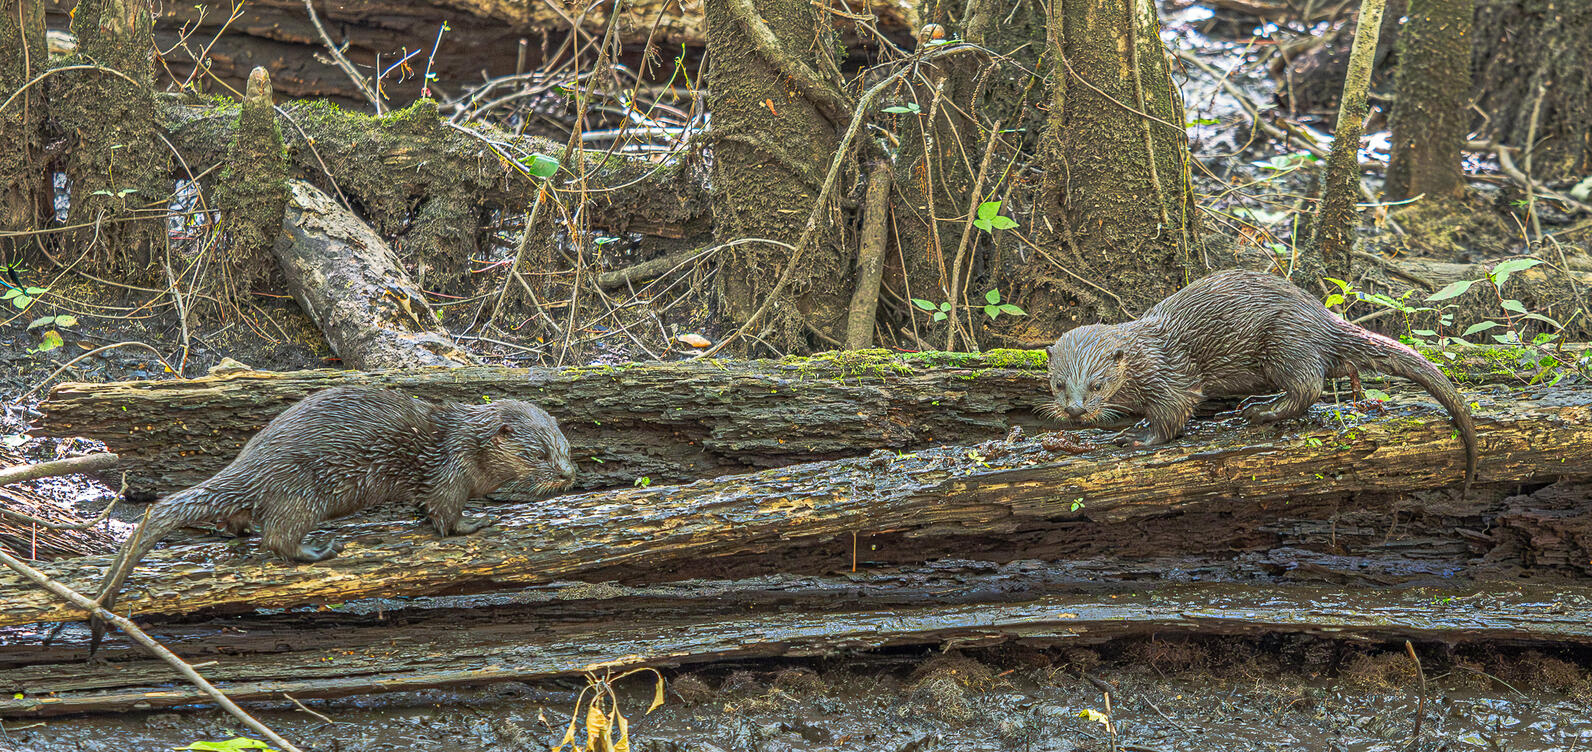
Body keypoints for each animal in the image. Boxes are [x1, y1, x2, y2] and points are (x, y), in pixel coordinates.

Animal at [90, 385, 576, 656]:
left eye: (566, 448)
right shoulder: (450, 472)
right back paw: (320, 548)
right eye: (539, 454)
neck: (467, 447)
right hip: (301, 490)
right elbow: (445, 514)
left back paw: (237, 530)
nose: (569, 475)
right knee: (278, 537)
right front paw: (478, 523)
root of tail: (252, 462)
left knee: (241, 518)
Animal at [1044, 272, 1477, 490]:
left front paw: (1138, 436)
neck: (1144, 356)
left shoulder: (1171, 376)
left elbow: (1173, 413)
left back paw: (1259, 411)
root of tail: (1319, 316)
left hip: (1285, 340)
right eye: (1059, 384)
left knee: (1308, 385)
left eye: (1097, 384)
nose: (1076, 410)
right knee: (1339, 367)